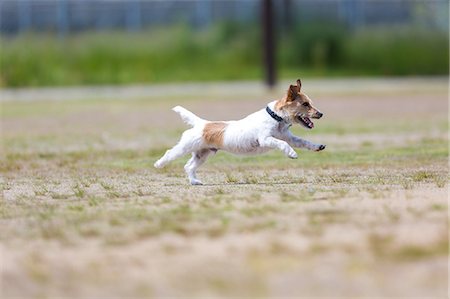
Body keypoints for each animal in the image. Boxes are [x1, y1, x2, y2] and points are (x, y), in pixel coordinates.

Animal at [153, 80, 326, 185]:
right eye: (305, 104)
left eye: (309, 103)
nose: (321, 114)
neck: (276, 118)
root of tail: (202, 123)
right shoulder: (266, 139)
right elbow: (281, 144)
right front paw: (292, 154)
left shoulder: (290, 138)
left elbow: (303, 142)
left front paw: (318, 146)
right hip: (185, 147)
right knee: (170, 154)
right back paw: (159, 164)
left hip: (203, 154)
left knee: (189, 166)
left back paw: (195, 182)